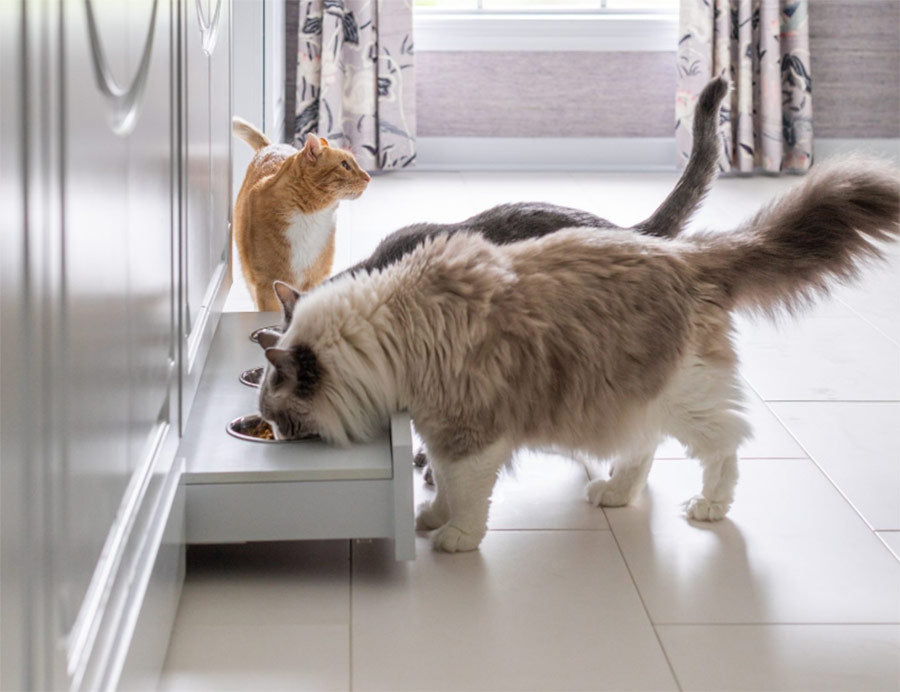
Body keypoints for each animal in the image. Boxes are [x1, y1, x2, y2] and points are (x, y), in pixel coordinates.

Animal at [236, 118, 372, 310]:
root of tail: (272, 145)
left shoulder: (317, 279)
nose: (368, 177)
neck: (311, 218)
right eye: (345, 165)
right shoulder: (266, 285)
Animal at [255, 154, 900, 556]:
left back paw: (709, 505)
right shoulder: (439, 423)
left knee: (725, 444)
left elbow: (466, 491)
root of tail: (682, 253)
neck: (386, 331)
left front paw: (453, 535)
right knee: (643, 447)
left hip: (681, 396)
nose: (278, 441)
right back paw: (614, 493)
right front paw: (431, 515)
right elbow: (442, 478)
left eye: (280, 418)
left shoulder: (472, 430)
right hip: (631, 393)